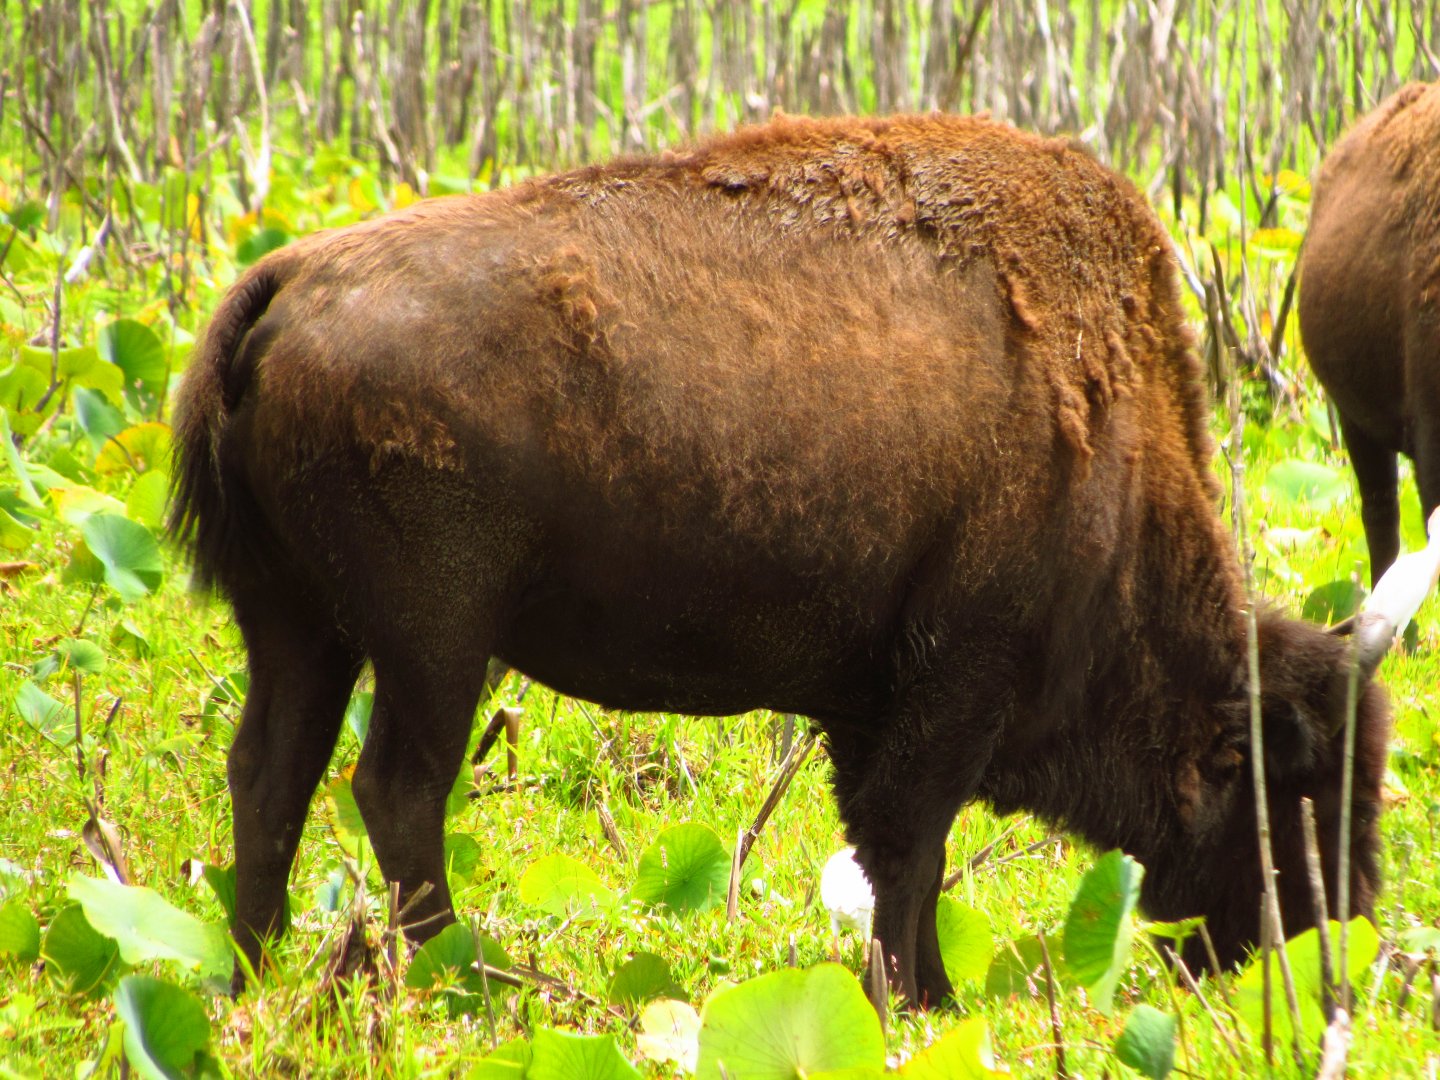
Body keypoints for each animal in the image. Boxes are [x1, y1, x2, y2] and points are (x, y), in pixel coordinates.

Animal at [172, 113, 1405, 1007]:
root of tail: (285, 280)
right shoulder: (955, 685)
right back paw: (465, 985)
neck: (1103, 428)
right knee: (399, 790)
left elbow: (894, 851)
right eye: (1304, 785)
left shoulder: (879, 705)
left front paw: (928, 995)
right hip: (435, 643)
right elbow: (912, 847)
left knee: (272, 775)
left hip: (300, 627)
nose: (1334, 945)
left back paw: (250, 976)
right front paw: (918, 1004)